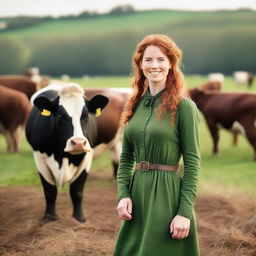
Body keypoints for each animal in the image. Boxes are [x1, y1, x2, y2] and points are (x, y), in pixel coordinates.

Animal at [25, 83, 109, 222]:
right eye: (60, 116)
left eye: (86, 116)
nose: (78, 143)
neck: (62, 156)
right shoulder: (39, 158)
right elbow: (50, 191)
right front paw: (50, 217)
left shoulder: (87, 159)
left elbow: (76, 191)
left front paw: (79, 218)